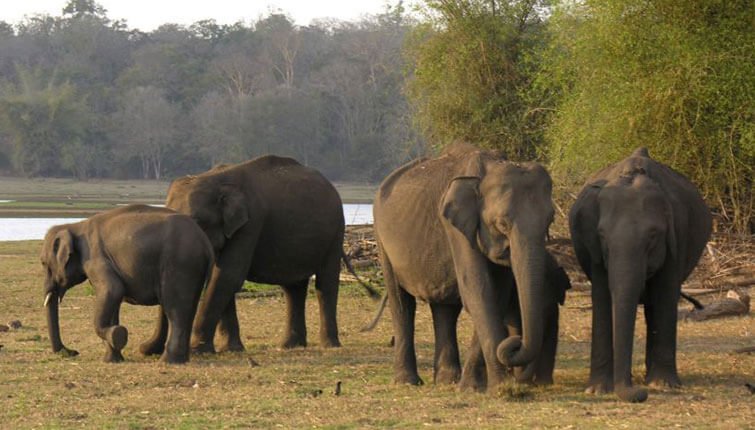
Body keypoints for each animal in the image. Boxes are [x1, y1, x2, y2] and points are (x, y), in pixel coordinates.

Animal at [40, 205, 213, 363]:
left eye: (43, 263)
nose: (73, 352)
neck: (75, 226)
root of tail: (205, 241)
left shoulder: (96, 258)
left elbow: (112, 290)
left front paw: (117, 335)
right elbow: (114, 299)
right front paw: (112, 359)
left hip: (180, 264)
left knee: (175, 309)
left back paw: (167, 361)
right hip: (192, 268)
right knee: (188, 309)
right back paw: (181, 360)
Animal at [165, 155, 375, 353]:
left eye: (197, 222)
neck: (216, 179)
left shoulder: (251, 223)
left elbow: (229, 275)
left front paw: (198, 350)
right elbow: (220, 277)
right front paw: (231, 349)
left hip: (335, 232)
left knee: (325, 284)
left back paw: (329, 345)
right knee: (294, 288)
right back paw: (290, 345)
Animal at [373, 143, 556, 391]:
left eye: (550, 221)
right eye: (502, 224)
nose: (515, 341)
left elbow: (495, 295)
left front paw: (475, 386)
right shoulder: (455, 228)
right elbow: (478, 289)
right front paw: (500, 388)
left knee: (444, 308)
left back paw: (447, 380)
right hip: (383, 241)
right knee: (401, 303)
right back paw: (408, 382)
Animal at [569, 147, 712, 402]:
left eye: (653, 236)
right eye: (602, 236)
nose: (639, 394)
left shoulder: (678, 236)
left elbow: (665, 295)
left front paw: (664, 385)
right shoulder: (594, 248)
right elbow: (602, 298)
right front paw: (597, 390)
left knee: (655, 307)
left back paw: (654, 380)